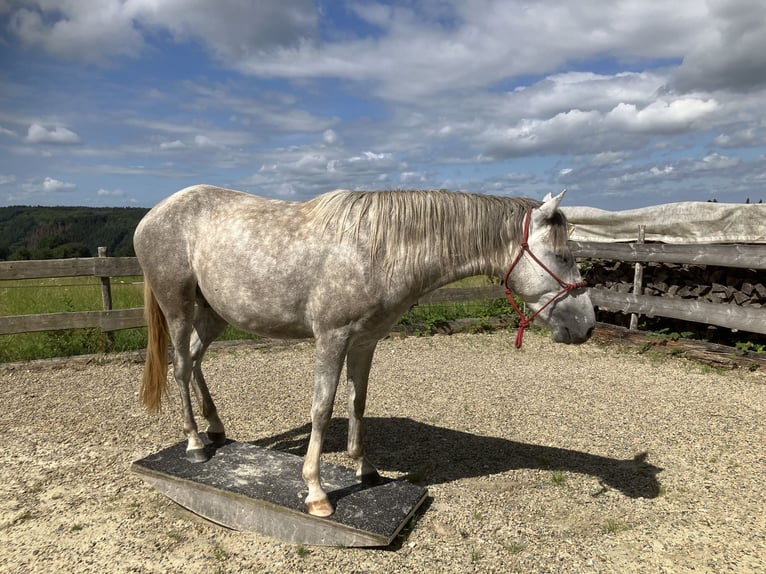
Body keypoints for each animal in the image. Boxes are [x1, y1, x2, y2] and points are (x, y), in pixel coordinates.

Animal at [135, 184, 596, 516]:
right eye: (561, 255)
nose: (587, 325)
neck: (376, 250)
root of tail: (152, 214)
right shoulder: (331, 339)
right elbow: (322, 409)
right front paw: (316, 491)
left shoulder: (365, 341)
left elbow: (357, 402)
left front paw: (365, 468)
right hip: (177, 306)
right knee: (180, 365)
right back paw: (195, 444)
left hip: (214, 314)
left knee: (195, 359)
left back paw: (216, 428)